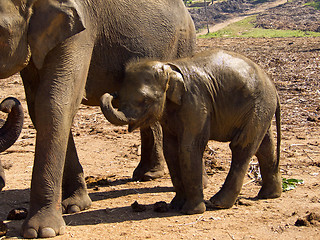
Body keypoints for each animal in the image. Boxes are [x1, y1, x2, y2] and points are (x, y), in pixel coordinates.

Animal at [0, 0, 195, 238]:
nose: (6, 104)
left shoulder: (80, 30)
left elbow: (55, 102)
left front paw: (42, 231)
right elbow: (38, 105)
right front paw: (75, 206)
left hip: (183, 43)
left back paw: (150, 176)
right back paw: (145, 174)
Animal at [101, 49, 282, 214]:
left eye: (145, 100)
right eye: (120, 95)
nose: (111, 93)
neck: (169, 68)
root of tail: (273, 86)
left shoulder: (196, 103)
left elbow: (189, 148)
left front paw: (191, 211)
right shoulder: (170, 113)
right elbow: (171, 150)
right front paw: (175, 205)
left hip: (258, 106)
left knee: (242, 146)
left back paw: (218, 203)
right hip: (261, 110)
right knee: (265, 147)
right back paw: (270, 195)